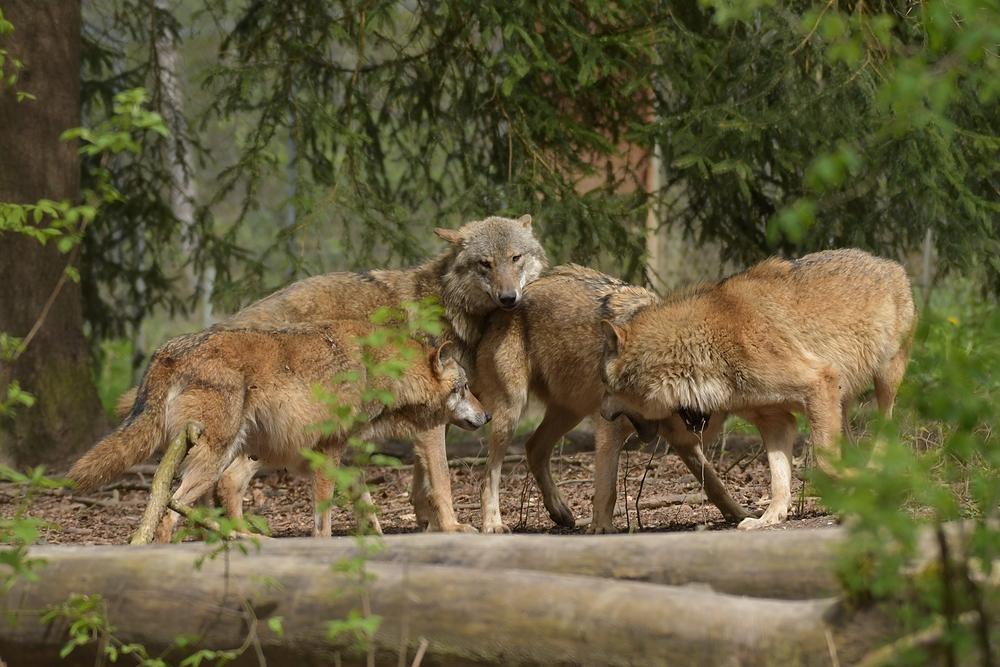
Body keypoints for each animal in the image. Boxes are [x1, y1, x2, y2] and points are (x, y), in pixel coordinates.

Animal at [70, 324, 492, 544]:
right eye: (464, 387)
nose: (487, 415)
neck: (381, 372)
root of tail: (166, 351)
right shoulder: (329, 452)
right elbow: (324, 519)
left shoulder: (342, 457)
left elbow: (366, 507)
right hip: (216, 455)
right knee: (170, 514)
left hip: (243, 451)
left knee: (210, 496)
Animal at [117, 215, 548, 532]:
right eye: (485, 264)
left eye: (516, 258)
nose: (509, 298)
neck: (447, 305)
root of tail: (220, 327)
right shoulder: (431, 420)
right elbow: (440, 480)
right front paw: (453, 526)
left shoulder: (431, 417)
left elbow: (420, 482)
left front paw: (425, 522)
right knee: (225, 482)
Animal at [474, 264, 752, 532]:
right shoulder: (611, 426)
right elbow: (607, 487)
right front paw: (601, 528)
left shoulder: (681, 439)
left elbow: (713, 481)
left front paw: (739, 513)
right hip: (512, 411)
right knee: (488, 475)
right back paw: (493, 524)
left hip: (570, 412)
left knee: (534, 447)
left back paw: (559, 511)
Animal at [596, 248, 916, 528]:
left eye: (605, 386)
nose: (603, 415)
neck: (704, 347)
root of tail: (889, 263)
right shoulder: (776, 420)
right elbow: (779, 479)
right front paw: (769, 519)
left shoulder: (819, 382)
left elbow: (824, 464)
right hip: (842, 404)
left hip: (885, 381)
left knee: (886, 430)